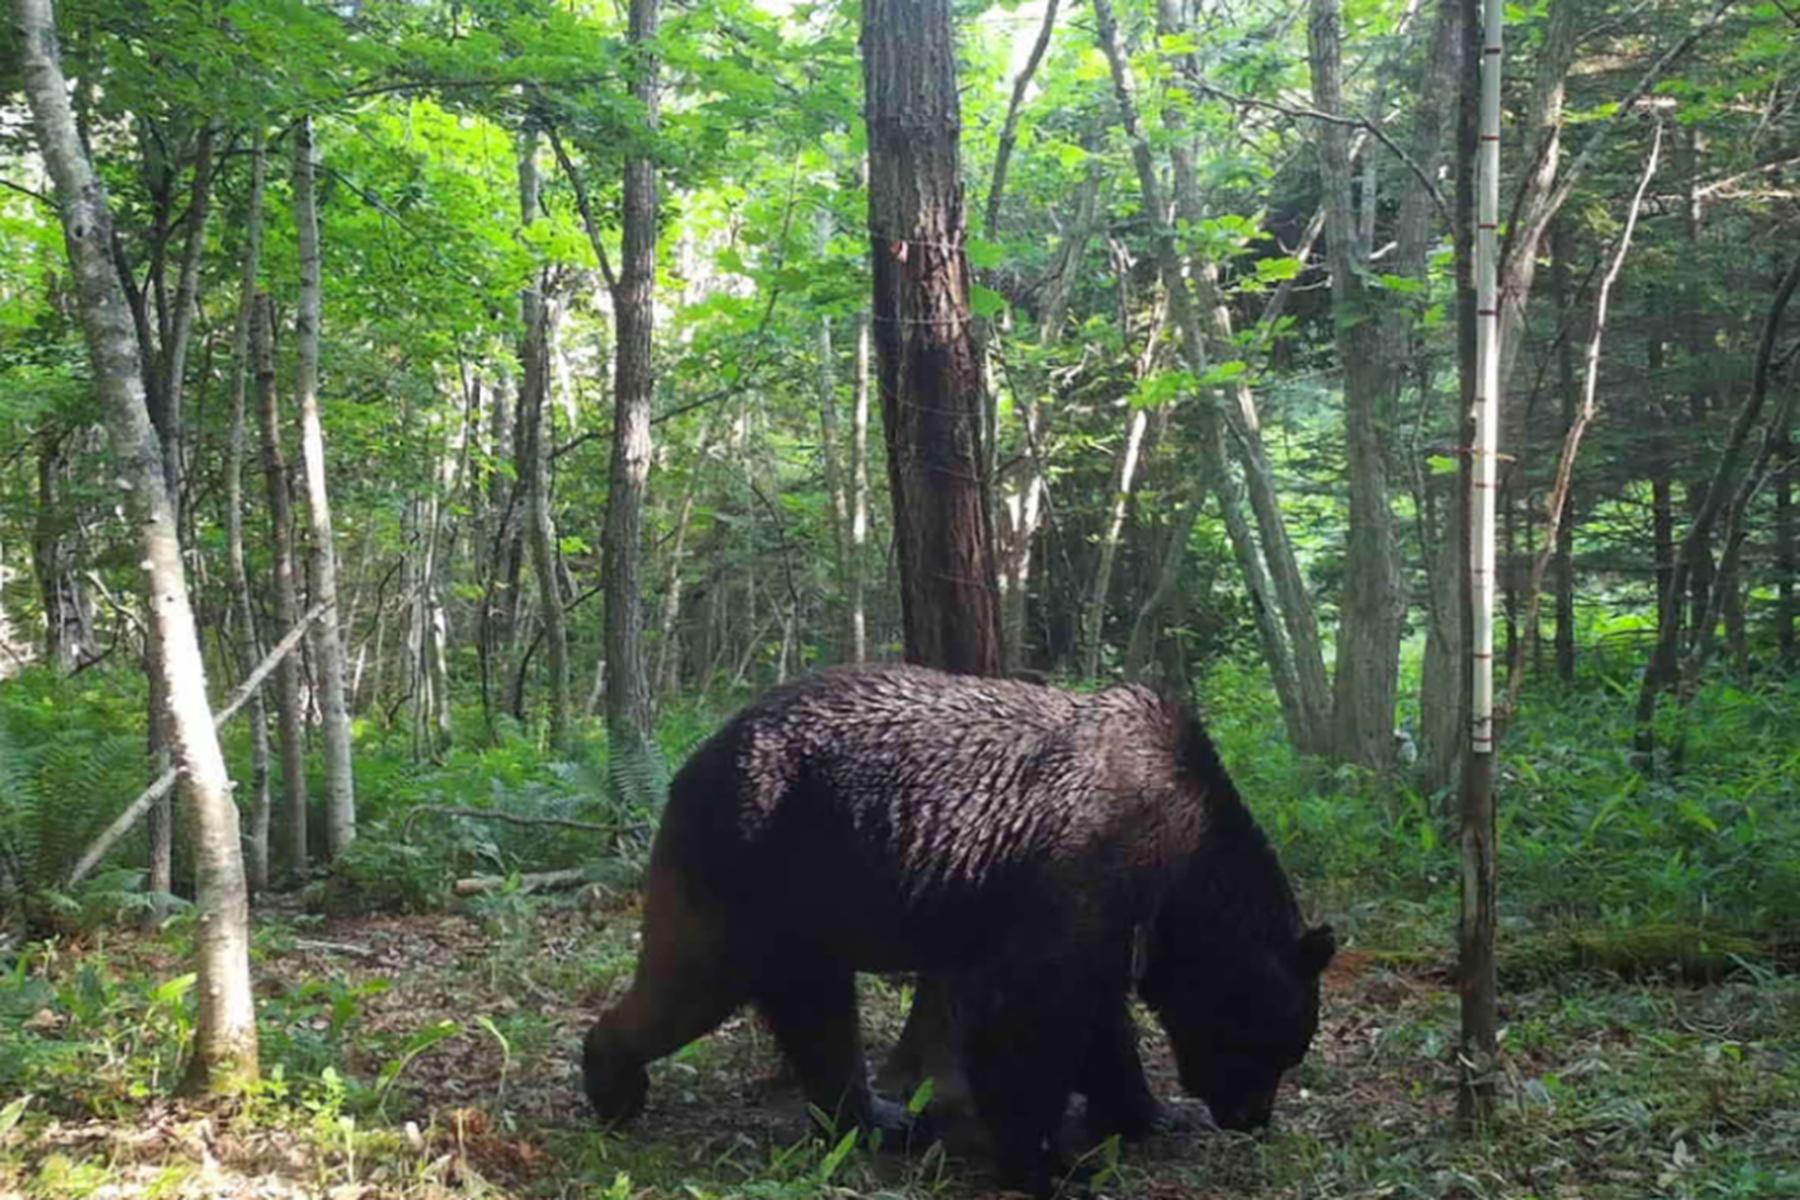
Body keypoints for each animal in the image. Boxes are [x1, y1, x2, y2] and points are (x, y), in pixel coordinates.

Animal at [581, 664, 1333, 1194]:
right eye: (1272, 1049)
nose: (1251, 1118)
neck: (1182, 865)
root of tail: (694, 758)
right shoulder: (1082, 872)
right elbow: (1029, 1018)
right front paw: (1048, 1164)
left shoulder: (1109, 923)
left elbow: (1099, 1021)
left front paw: (1148, 1113)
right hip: (751, 860)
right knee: (693, 981)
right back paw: (612, 1083)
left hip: (809, 902)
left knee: (817, 1013)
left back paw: (878, 1117)